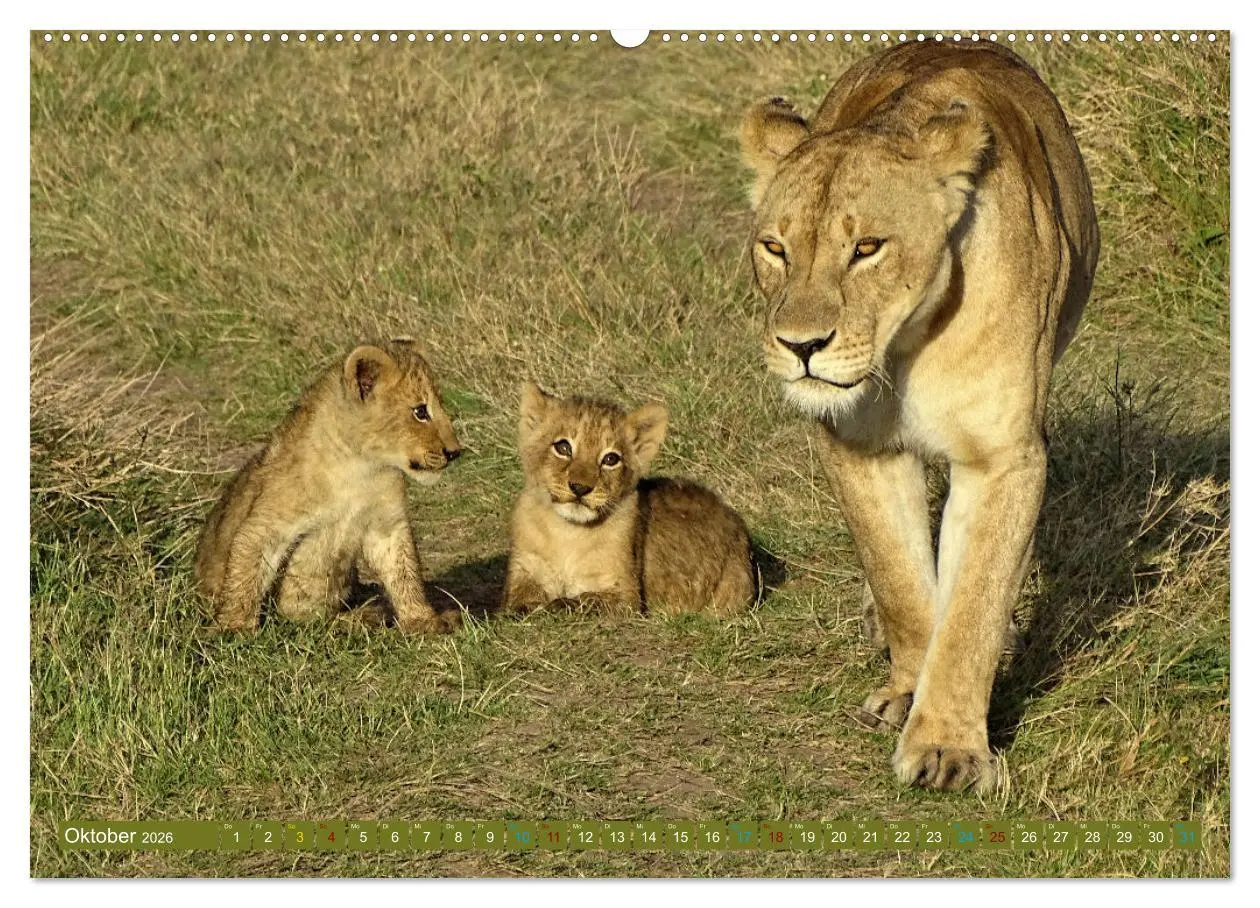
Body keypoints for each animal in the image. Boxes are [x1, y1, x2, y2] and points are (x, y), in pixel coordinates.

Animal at [739, 41, 1098, 793]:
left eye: (866, 248)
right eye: (775, 248)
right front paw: (908, 692)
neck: (903, 346)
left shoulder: (1003, 456)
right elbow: (901, 581)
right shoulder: (858, 445)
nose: (801, 347)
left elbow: (972, 608)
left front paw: (948, 749)